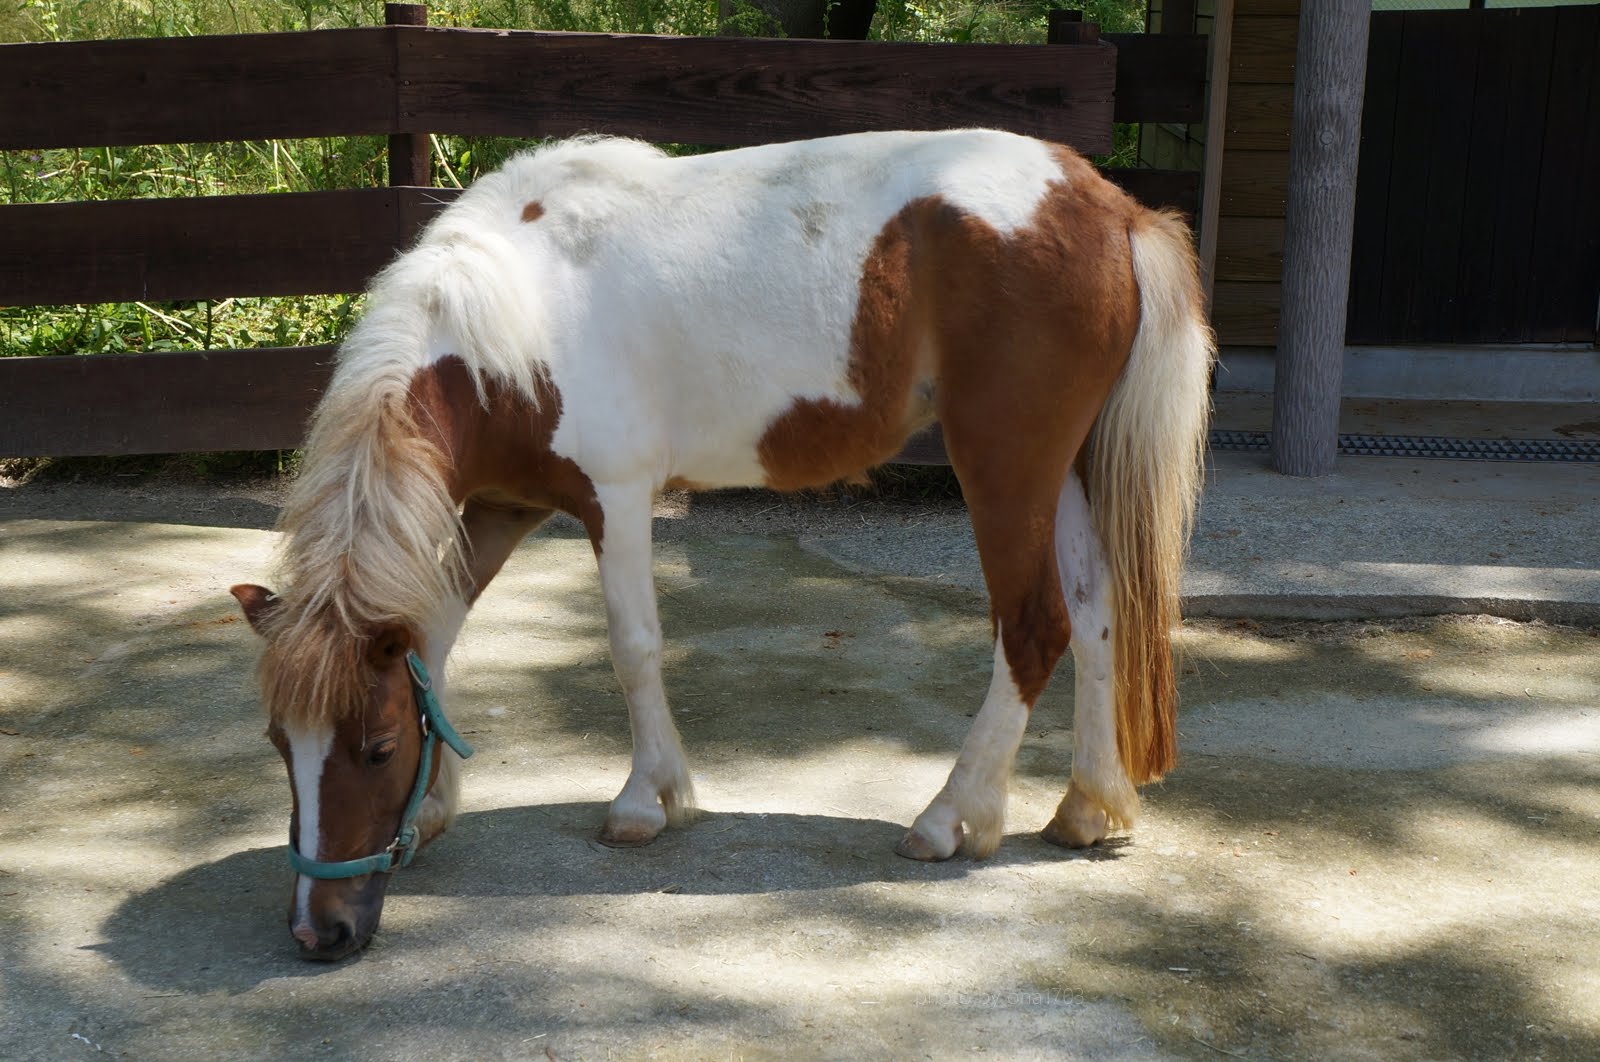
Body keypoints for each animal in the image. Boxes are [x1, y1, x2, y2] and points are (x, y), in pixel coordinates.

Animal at [229, 129, 1215, 961]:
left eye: (376, 748)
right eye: (280, 743)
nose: (320, 931)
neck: (511, 318)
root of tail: (1109, 206)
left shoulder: (616, 499)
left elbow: (633, 647)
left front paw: (647, 803)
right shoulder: (501, 509)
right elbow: (433, 641)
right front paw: (435, 811)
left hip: (1006, 466)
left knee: (1034, 626)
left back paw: (951, 818)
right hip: (1070, 468)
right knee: (1097, 618)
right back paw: (1087, 809)